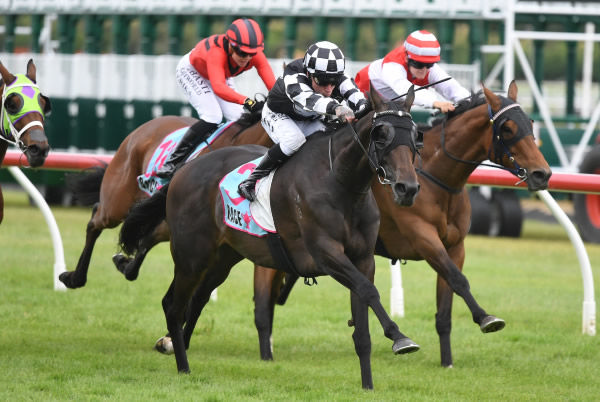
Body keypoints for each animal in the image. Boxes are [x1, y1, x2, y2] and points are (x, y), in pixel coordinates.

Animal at [58, 103, 270, 288]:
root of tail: (145, 127)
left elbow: (145, 243)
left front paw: (124, 263)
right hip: (117, 202)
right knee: (95, 219)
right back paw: (74, 277)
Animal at [119, 86, 422, 388]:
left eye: (415, 134)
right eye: (381, 134)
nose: (407, 188)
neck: (340, 182)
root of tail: (184, 170)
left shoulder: (362, 259)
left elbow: (362, 322)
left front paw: (368, 384)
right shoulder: (325, 254)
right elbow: (369, 291)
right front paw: (399, 337)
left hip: (222, 258)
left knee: (195, 300)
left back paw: (174, 346)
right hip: (191, 257)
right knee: (173, 306)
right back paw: (183, 366)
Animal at [248, 79, 552, 368]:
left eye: (531, 123)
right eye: (508, 128)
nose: (542, 173)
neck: (436, 178)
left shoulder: (455, 246)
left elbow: (448, 301)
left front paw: (448, 361)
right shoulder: (423, 238)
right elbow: (456, 278)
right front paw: (486, 318)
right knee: (263, 299)